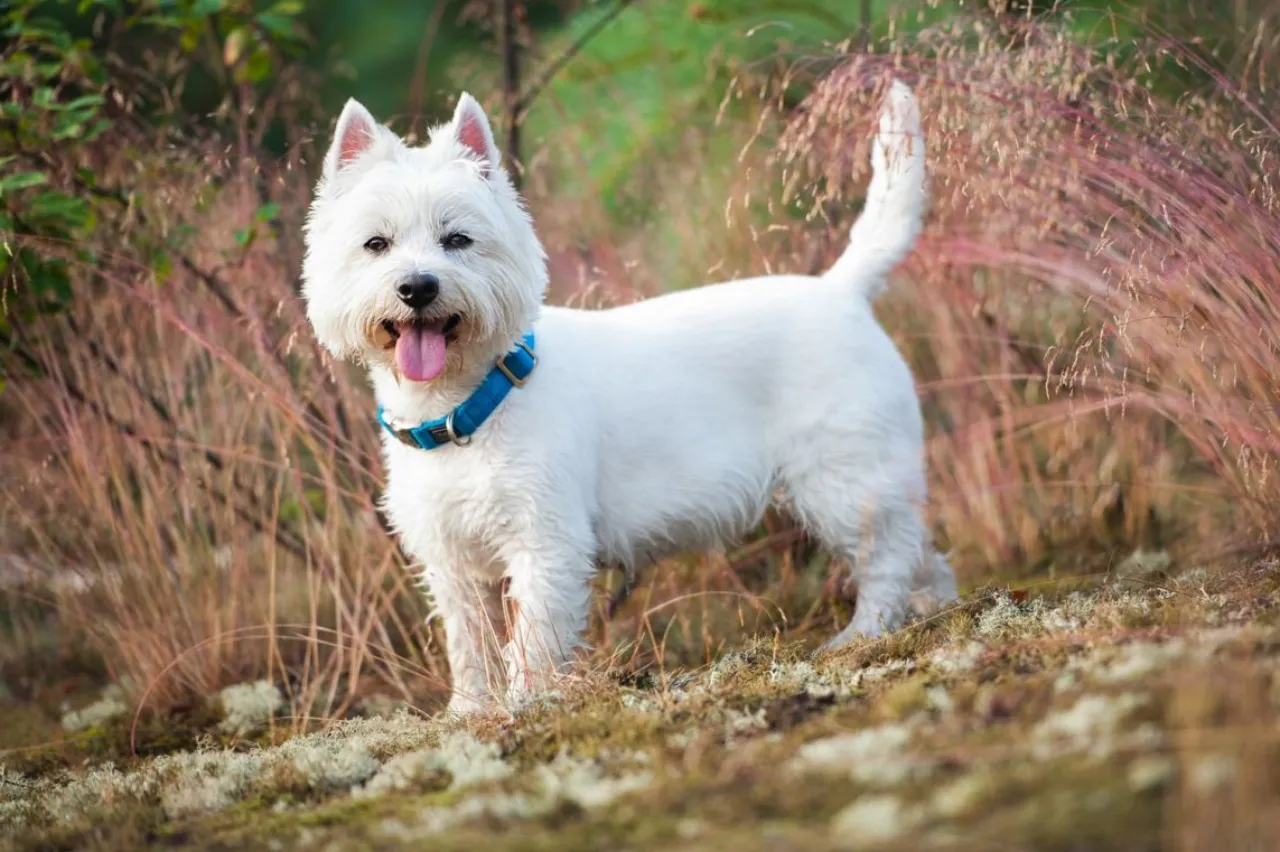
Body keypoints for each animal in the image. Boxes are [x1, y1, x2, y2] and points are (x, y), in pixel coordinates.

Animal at [299, 79, 957, 711]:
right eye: (376, 244)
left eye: (457, 239)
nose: (417, 287)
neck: (465, 408)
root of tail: (843, 290)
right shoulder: (453, 561)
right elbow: (471, 645)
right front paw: (468, 712)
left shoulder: (547, 540)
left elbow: (534, 637)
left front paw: (526, 704)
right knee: (924, 551)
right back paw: (937, 611)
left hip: (843, 478)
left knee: (888, 555)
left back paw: (862, 633)